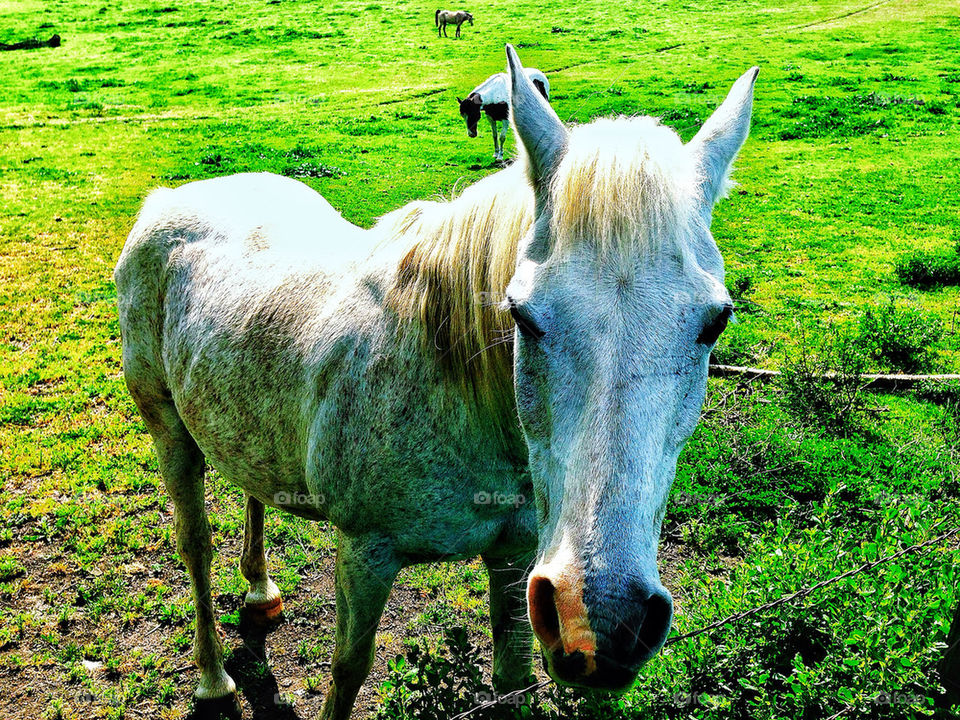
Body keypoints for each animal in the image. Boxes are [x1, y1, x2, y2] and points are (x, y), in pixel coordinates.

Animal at [114, 43, 756, 720]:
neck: (452, 384)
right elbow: (347, 672)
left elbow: (511, 674)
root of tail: (169, 201)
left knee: (252, 486)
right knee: (195, 546)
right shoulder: (365, 554)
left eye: (716, 321)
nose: (602, 621)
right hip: (168, 430)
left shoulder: (513, 554)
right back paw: (213, 678)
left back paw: (261, 592)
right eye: (521, 314)